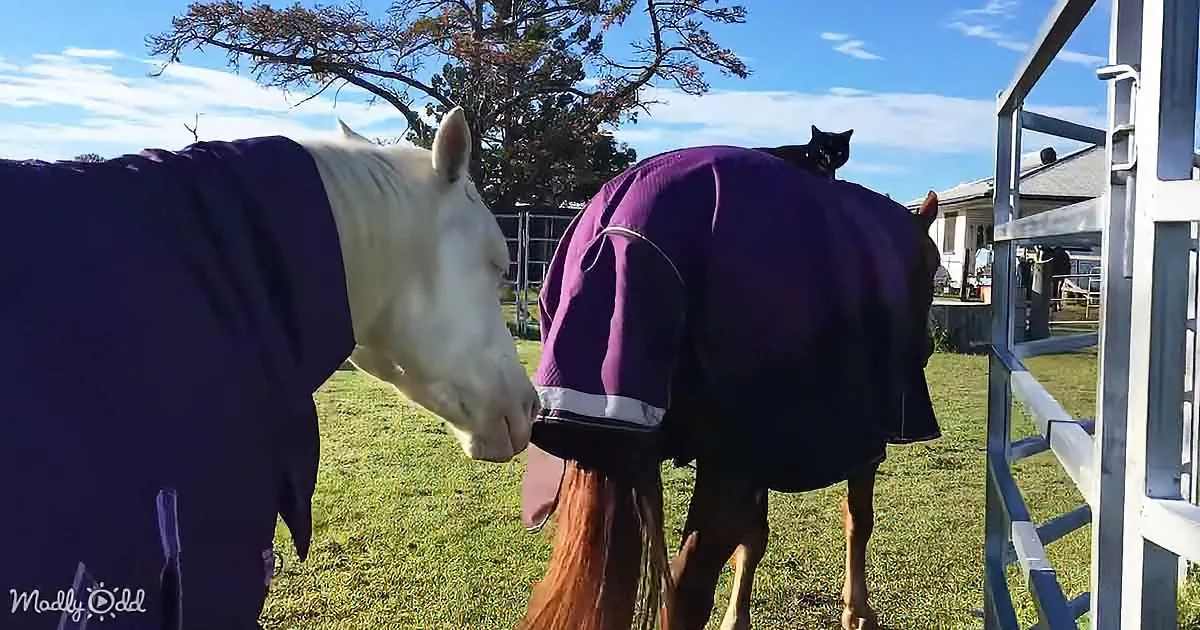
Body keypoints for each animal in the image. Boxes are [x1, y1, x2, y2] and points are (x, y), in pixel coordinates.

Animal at [516, 144, 942, 630]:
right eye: (934, 264)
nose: (926, 346)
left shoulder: (756, 451)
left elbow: (755, 537)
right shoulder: (849, 441)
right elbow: (858, 518)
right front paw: (858, 612)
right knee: (685, 594)